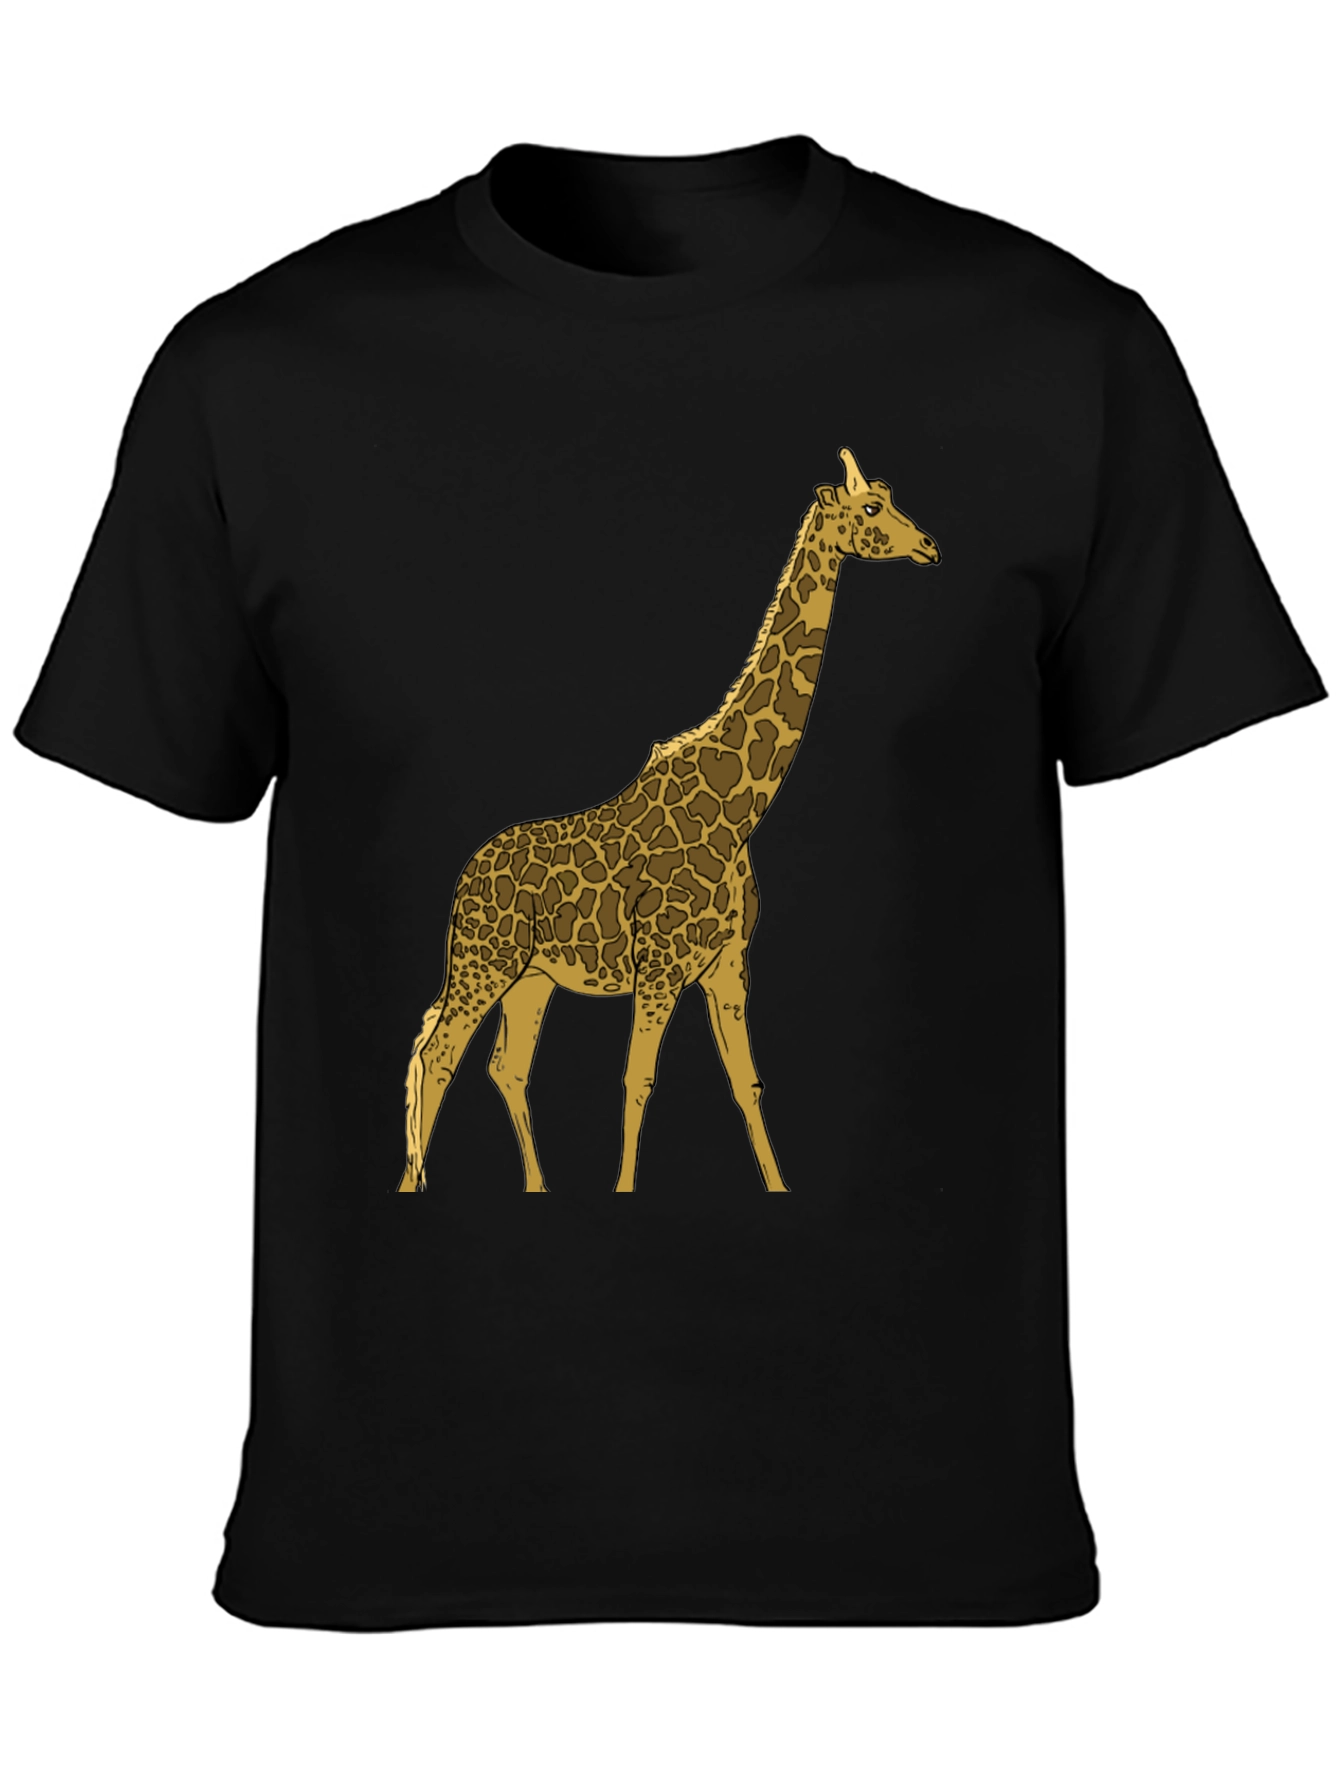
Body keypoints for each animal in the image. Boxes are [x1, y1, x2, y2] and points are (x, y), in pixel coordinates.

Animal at [396, 448, 939, 1196]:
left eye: (886, 494)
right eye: (870, 508)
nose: (929, 546)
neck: (739, 810)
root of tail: (467, 876)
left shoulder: (727, 965)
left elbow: (747, 1084)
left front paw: (778, 1186)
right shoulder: (659, 966)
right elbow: (638, 1080)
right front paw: (624, 1190)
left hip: (531, 977)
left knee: (500, 1063)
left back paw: (534, 1186)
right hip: (485, 959)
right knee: (438, 1050)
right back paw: (412, 1183)